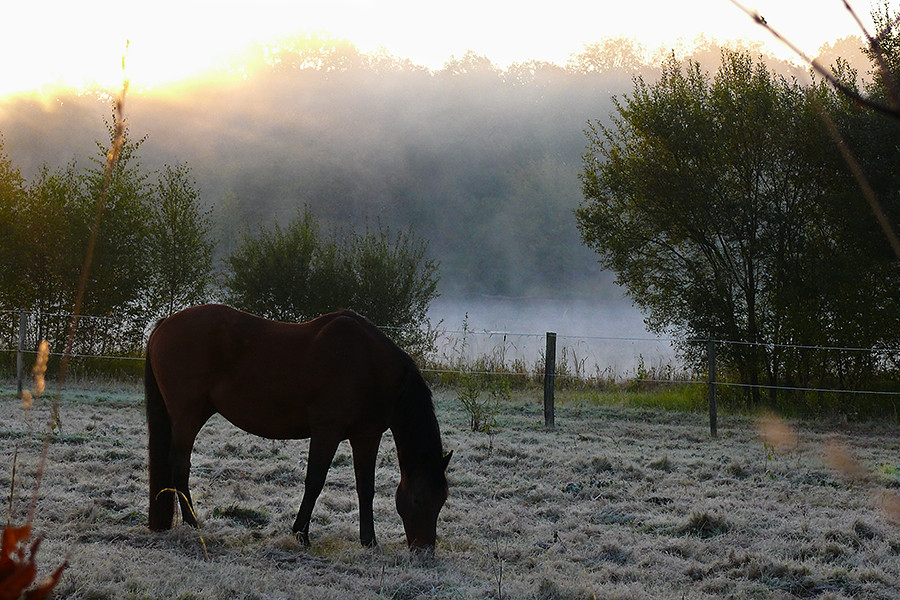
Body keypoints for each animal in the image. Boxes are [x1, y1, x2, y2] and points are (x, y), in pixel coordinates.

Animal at [146, 304, 450, 552]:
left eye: (442, 501)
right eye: (418, 500)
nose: (424, 551)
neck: (370, 365)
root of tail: (165, 323)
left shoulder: (367, 436)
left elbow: (366, 487)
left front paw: (369, 541)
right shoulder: (326, 432)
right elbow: (314, 481)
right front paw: (301, 534)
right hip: (187, 414)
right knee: (180, 466)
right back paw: (192, 524)